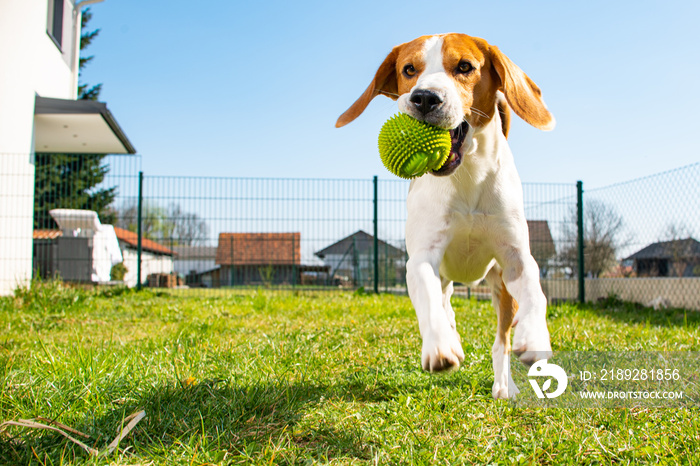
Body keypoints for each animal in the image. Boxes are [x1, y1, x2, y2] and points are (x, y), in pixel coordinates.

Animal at [336, 32, 556, 398]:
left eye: (465, 67)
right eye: (409, 70)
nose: (424, 98)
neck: (466, 177)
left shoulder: (515, 258)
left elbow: (535, 296)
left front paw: (535, 336)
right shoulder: (422, 259)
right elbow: (428, 297)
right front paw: (440, 346)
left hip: (500, 286)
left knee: (501, 339)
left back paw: (504, 384)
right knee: (443, 301)